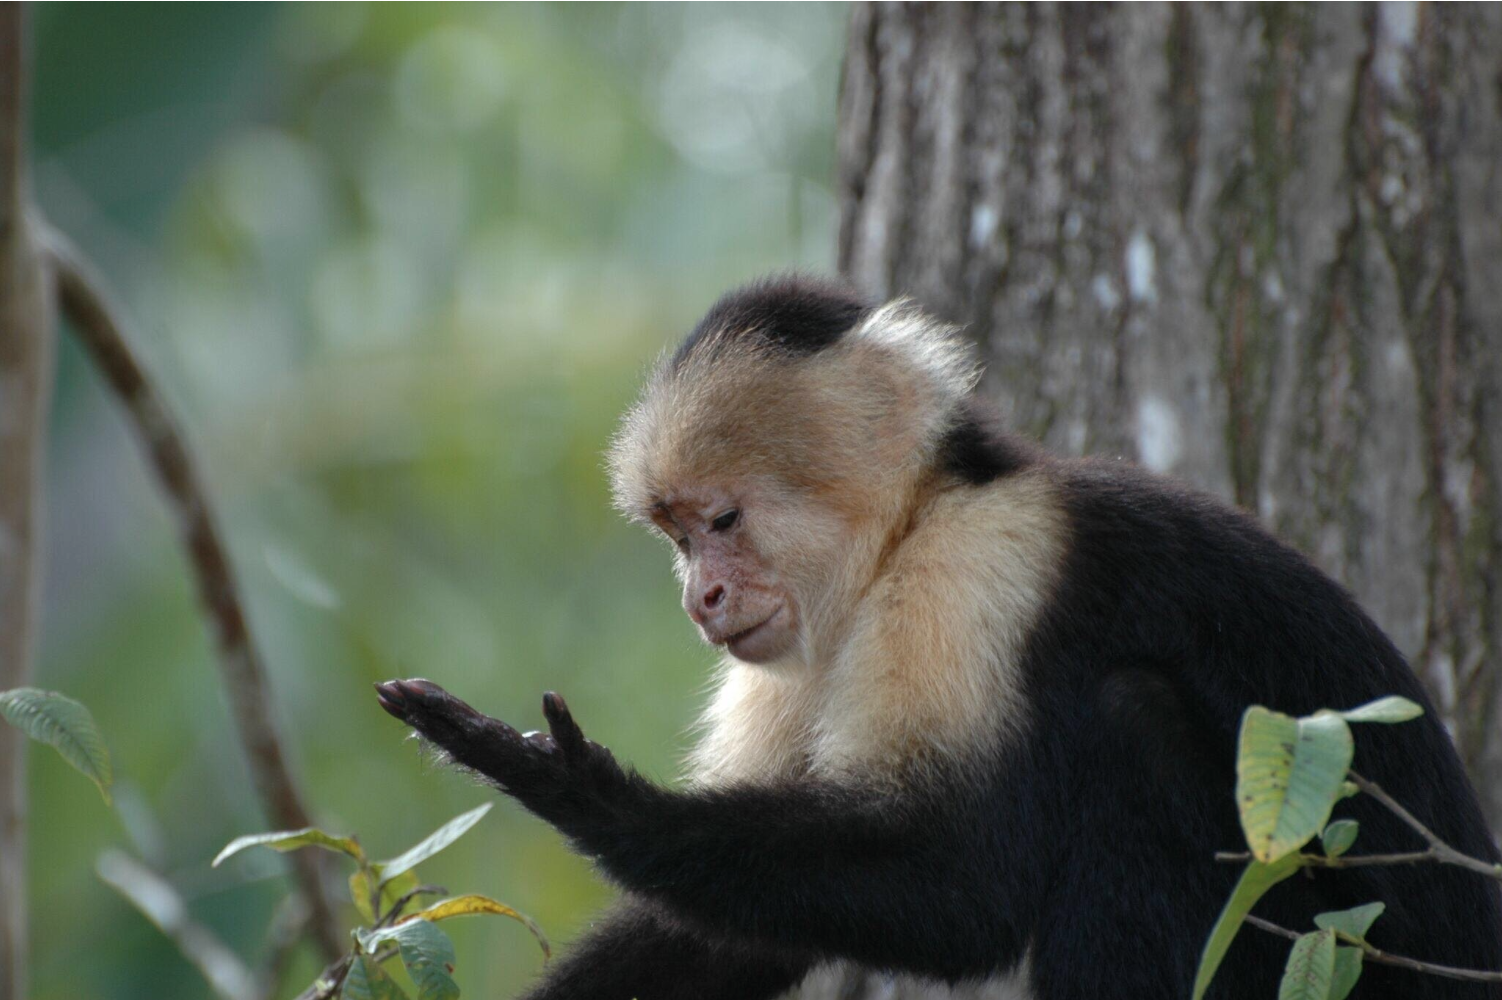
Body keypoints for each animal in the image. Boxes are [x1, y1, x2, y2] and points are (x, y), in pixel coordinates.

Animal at [375, 274, 1502, 996]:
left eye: (723, 521)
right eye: (676, 536)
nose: (701, 597)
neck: (912, 526)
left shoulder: (974, 575)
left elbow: (966, 889)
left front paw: (579, 788)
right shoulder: (797, 648)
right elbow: (727, 936)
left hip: (1348, 958)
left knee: (1130, 729)